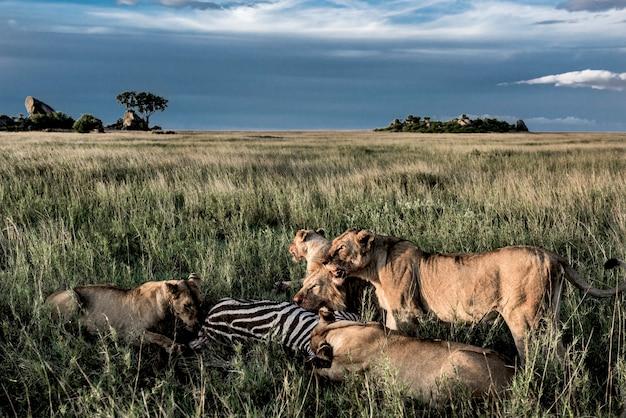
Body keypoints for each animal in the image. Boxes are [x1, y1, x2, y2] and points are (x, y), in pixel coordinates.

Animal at [46, 272, 202, 352]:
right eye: (187, 305)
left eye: (200, 302)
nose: (198, 325)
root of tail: (47, 299)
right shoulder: (131, 334)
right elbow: (159, 337)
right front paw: (175, 347)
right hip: (73, 296)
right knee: (59, 329)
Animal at [308, 306, 512, 404]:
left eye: (310, 345)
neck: (337, 331)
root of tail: (512, 374)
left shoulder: (346, 368)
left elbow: (319, 370)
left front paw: (311, 368)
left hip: (458, 359)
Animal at [322, 230, 624, 364]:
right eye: (332, 246)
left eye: (340, 248)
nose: (324, 260)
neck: (373, 268)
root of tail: (552, 255)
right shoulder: (394, 315)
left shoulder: (406, 313)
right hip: (550, 314)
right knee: (560, 350)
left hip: (522, 318)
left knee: (532, 352)